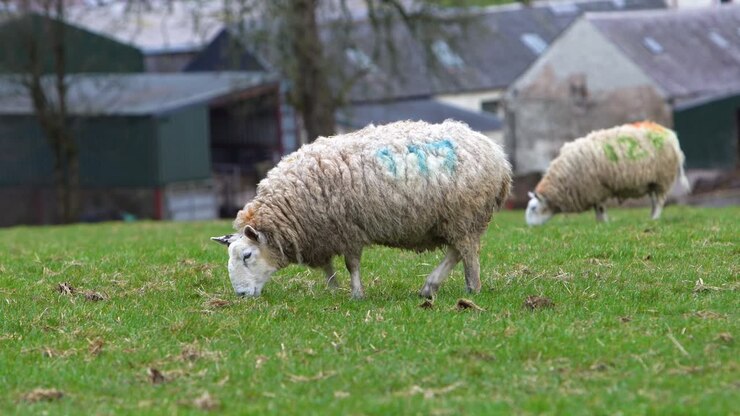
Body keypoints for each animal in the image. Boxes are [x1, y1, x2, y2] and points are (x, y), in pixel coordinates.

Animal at [211, 120, 512, 299]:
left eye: (247, 256)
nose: (240, 295)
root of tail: (497, 154)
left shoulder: (348, 228)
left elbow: (351, 264)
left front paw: (356, 294)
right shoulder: (323, 232)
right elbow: (328, 266)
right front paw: (333, 288)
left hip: (464, 214)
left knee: (467, 253)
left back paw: (471, 288)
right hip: (457, 219)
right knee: (457, 251)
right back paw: (431, 287)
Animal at [525, 121, 689, 226]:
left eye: (533, 208)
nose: (529, 227)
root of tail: (670, 134)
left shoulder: (596, 189)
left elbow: (600, 209)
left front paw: (602, 223)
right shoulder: (593, 192)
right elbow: (597, 209)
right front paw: (600, 222)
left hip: (663, 177)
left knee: (660, 202)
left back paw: (655, 218)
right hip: (652, 182)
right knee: (655, 202)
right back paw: (650, 217)